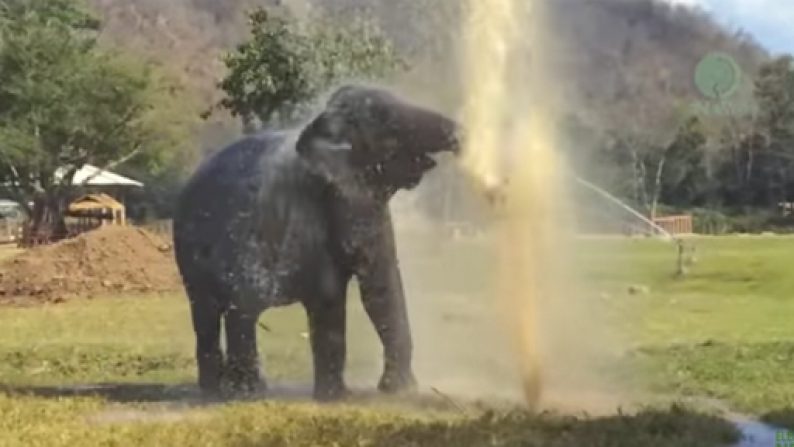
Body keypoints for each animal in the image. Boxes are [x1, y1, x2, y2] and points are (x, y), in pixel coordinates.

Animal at [173, 86, 458, 400]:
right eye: (388, 122)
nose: (461, 137)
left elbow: (369, 288)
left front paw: (382, 393)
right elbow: (345, 291)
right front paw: (357, 396)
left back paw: (230, 389)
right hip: (202, 252)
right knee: (228, 309)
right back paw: (242, 392)